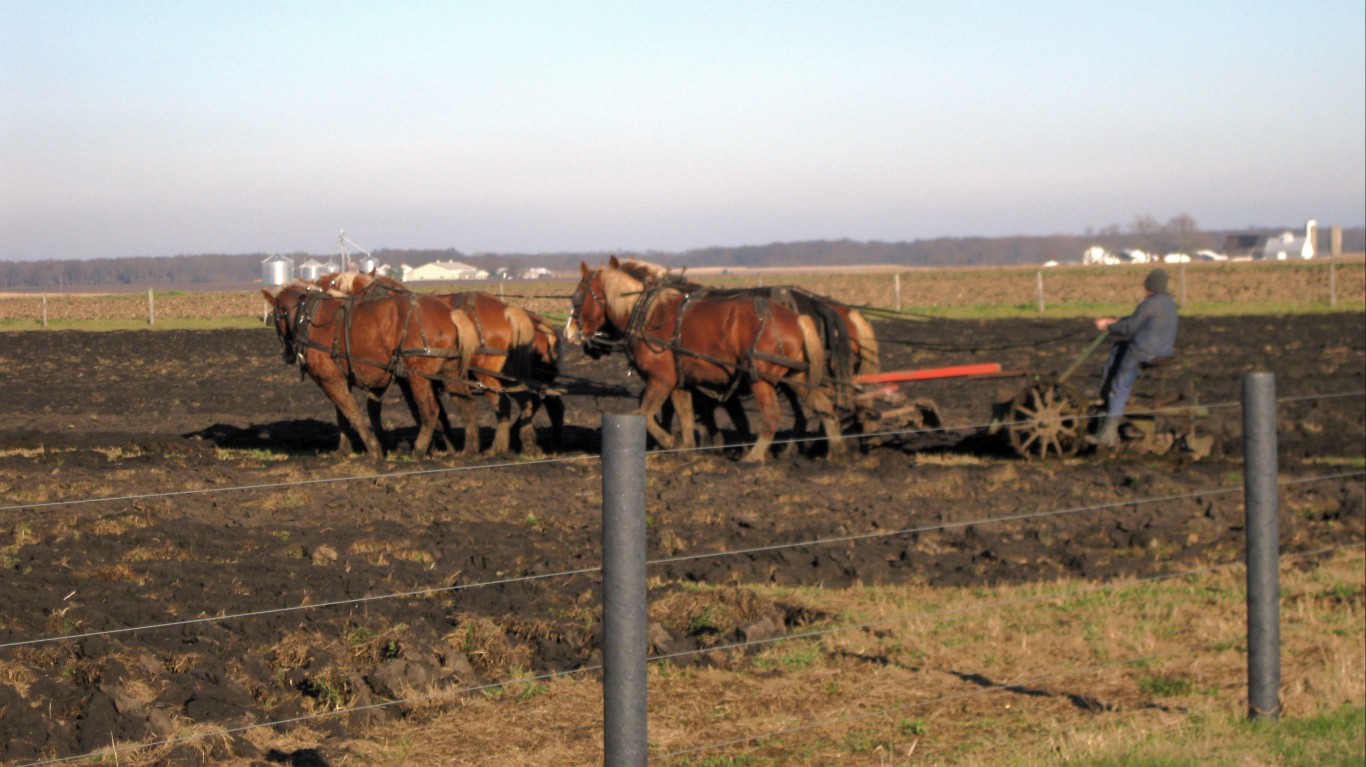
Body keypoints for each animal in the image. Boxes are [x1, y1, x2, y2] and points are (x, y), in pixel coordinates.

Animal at [262, 281, 480, 459]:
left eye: (274, 316)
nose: (287, 354)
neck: (308, 318)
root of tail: (450, 313)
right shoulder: (339, 379)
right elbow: (342, 415)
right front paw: (343, 450)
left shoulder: (330, 380)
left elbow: (352, 413)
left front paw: (373, 448)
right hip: (449, 372)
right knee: (466, 404)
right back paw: (468, 450)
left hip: (418, 376)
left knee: (431, 411)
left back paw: (419, 449)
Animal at [560, 259, 835, 459]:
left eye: (578, 295)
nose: (568, 333)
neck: (646, 313)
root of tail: (796, 318)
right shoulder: (679, 380)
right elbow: (684, 413)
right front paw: (687, 446)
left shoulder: (661, 379)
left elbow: (644, 413)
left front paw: (670, 441)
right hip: (796, 377)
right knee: (823, 406)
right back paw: (836, 451)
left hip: (762, 379)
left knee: (773, 416)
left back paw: (754, 457)